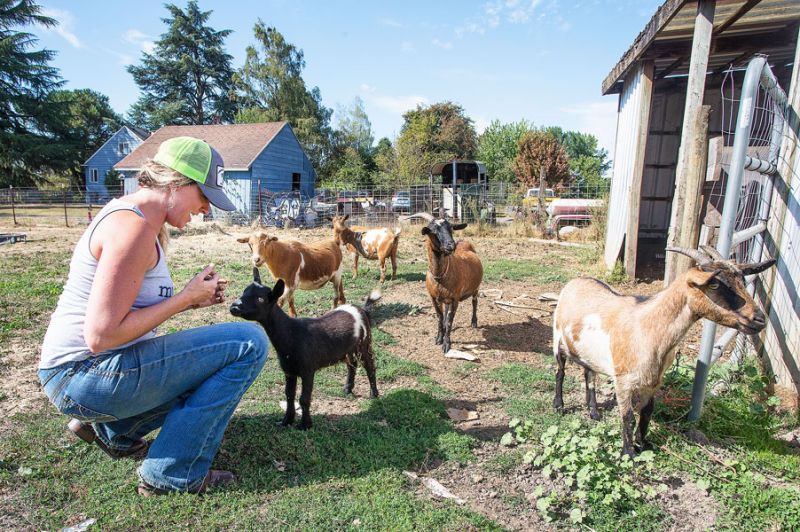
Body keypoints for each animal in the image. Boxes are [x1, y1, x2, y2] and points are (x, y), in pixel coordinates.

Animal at [231, 268, 382, 430]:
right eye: (244, 291)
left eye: (260, 299)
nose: (234, 307)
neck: (291, 334)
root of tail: (361, 309)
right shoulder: (289, 370)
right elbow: (289, 395)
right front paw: (286, 421)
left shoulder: (308, 369)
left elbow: (304, 398)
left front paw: (305, 425)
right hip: (348, 347)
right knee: (351, 364)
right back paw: (347, 389)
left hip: (364, 343)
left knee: (369, 365)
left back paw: (373, 394)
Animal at [410, 212, 484, 354]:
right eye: (432, 230)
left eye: (451, 228)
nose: (451, 245)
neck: (440, 277)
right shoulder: (433, 298)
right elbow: (440, 317)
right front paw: (439, 338)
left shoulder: (455, 299)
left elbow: (449, 320)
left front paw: (446, 344)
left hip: (475, 288)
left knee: (474, 302)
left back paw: (474, 322)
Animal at [552, 245, 772, 458]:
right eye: (714, 285)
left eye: (742, 281)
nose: (760, 320)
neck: (649, 328)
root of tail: (578, 280)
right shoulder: (623, 380)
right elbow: (628, 417)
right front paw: (629, 454)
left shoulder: (655, 380)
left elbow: (647, 412)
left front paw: (643, 444)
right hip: (557, 340)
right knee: (560, 372)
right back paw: (559, 404)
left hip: (587, 352)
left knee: (589, 374)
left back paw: (594, 412)